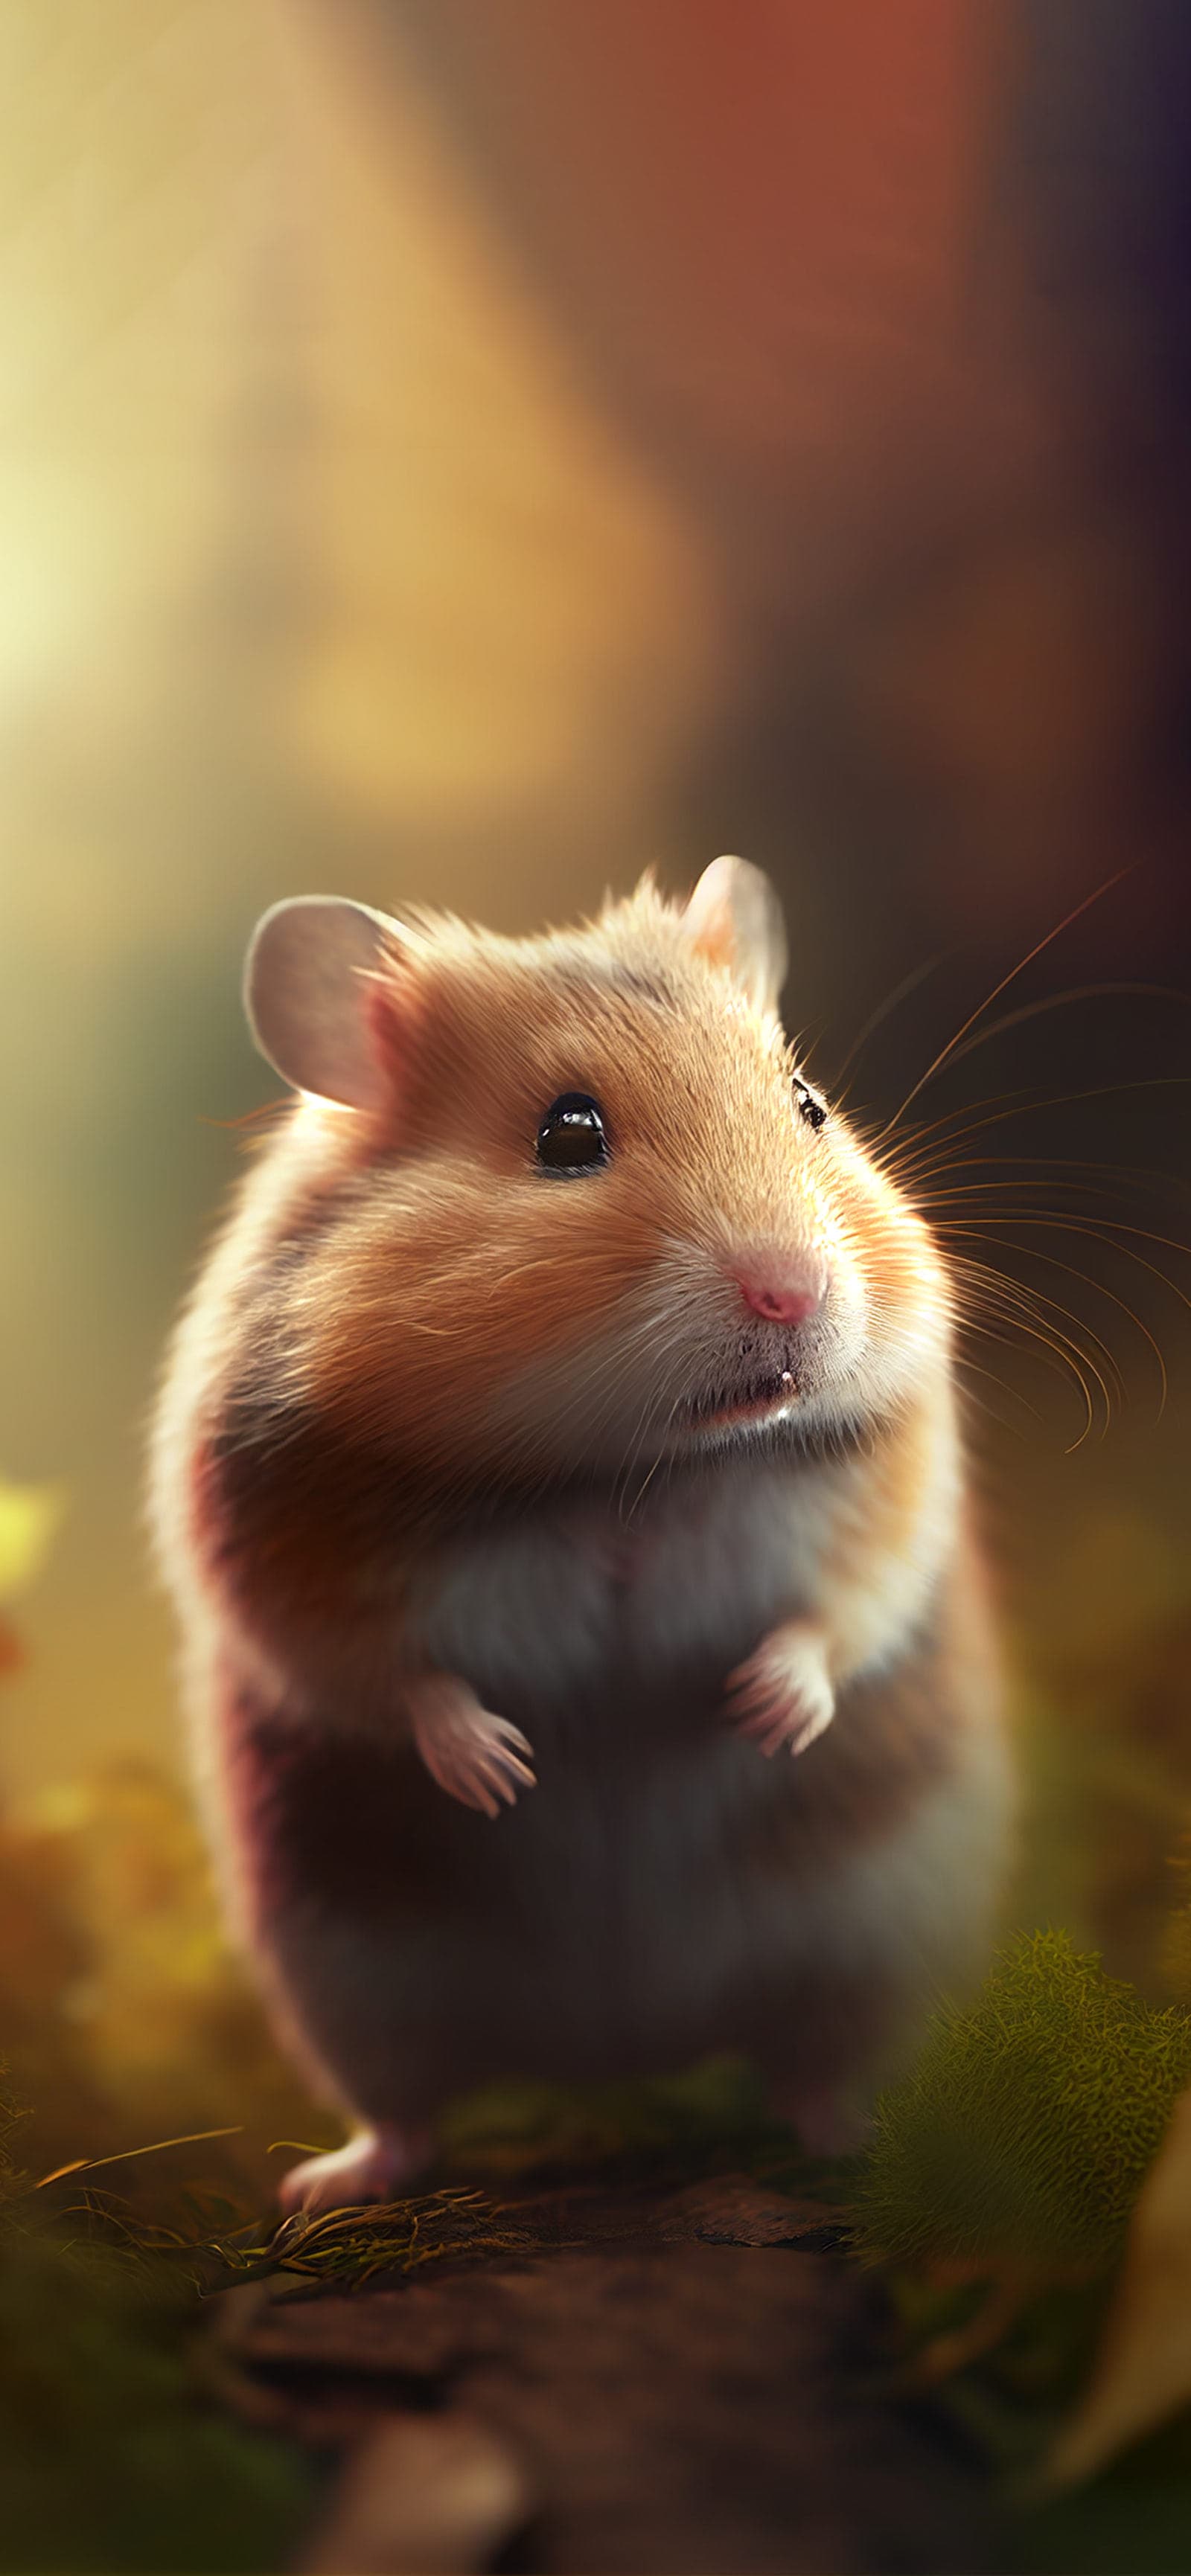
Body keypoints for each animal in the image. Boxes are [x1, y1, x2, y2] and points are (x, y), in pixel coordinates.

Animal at [150, 858, 1012, 2214]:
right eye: (567, 1135)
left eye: (811, 1105)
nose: (796, 1290)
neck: (624, 1471)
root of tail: (624, 2053)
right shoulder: (268, 1533)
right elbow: (388, 1672)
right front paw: (501, 1770)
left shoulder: (894, 1480)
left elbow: (839, 1610)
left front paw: (765, 1713)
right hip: (344, 1978)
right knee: (406, 2110)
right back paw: (324, 2188)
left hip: (876, 1933)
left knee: (816, 2065)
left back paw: (857, 2137)